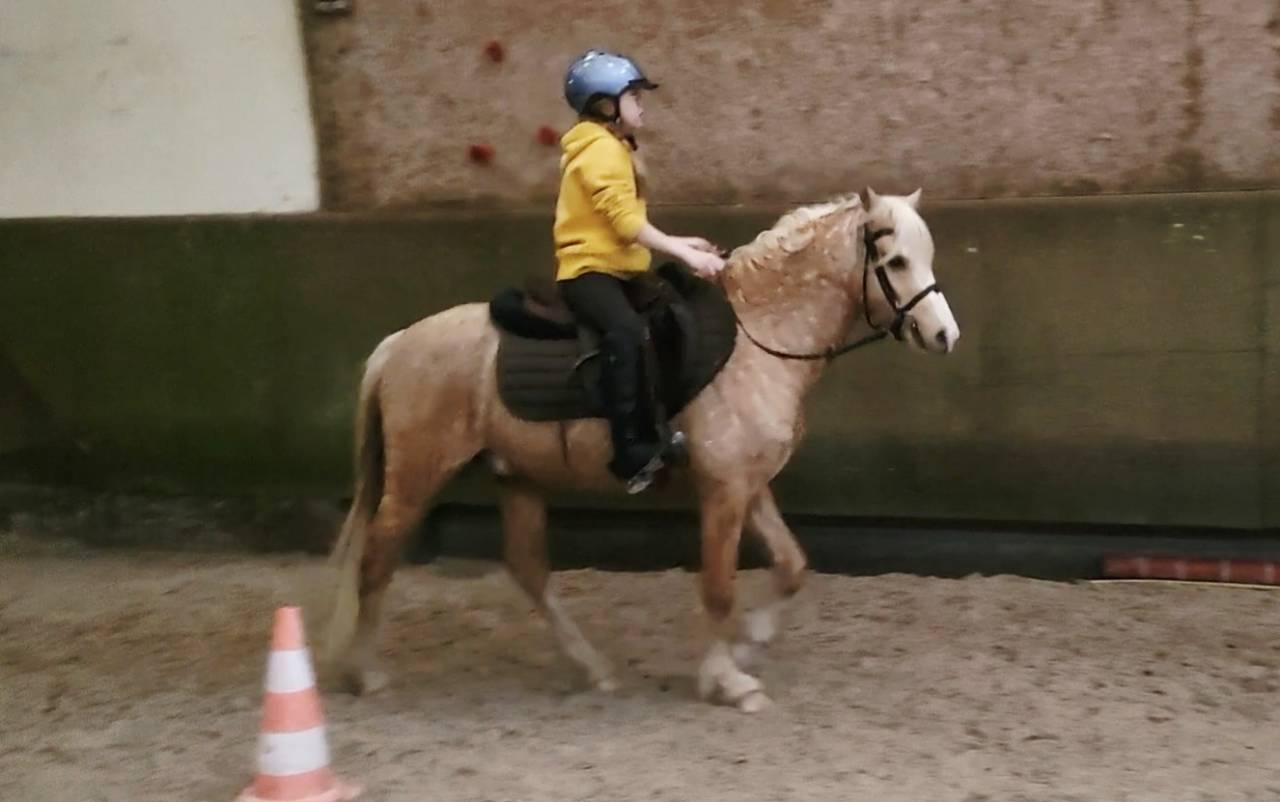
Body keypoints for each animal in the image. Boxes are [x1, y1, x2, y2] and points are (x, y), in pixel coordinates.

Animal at [322, 188, 960, 712]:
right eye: (895, 261)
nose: (944, 335)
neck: (759, 336)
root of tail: (399, 343)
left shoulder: (749, 483)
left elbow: (792, 565)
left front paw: (749, 644)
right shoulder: (723, 490)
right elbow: (718, 586)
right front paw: (727, 679)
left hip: (517, 477)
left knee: (528, 570)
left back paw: (592, 668)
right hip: (417, 477)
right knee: (377, 557)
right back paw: (366, 673)